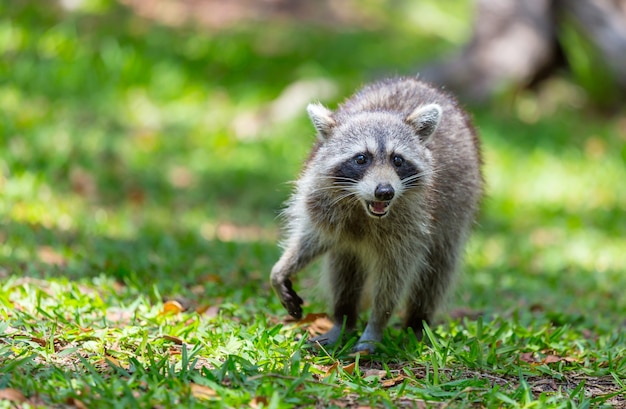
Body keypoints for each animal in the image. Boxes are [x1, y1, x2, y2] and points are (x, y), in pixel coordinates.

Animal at [270, 77, 482, 354]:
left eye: (398, 160)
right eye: (361, 158)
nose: (385, 191)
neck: (364, 208)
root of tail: (414, 80)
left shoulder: (413, 226)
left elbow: (393, 279)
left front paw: (376, 325)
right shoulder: (321, 200)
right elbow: (311, 239)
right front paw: (282, 269)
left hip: (456, 209)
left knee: (436, 273)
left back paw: (417, 323)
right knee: (343, 271)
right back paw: (343, 319)